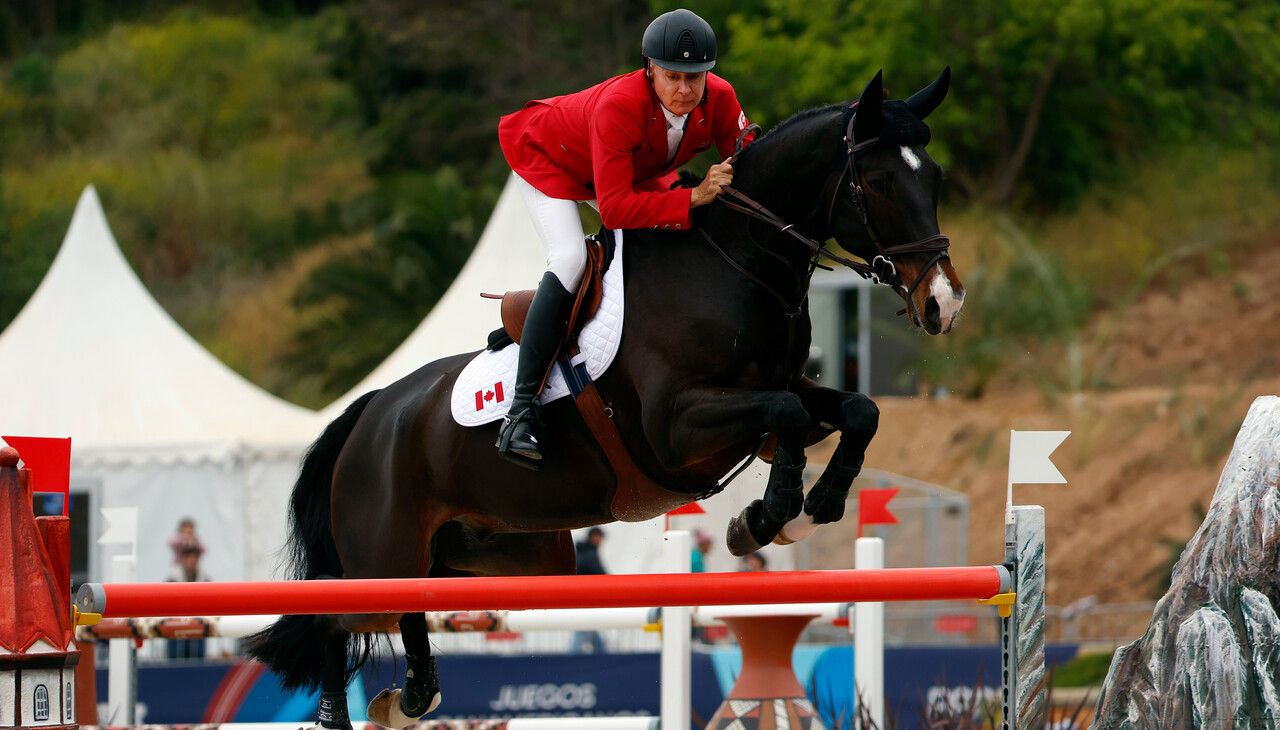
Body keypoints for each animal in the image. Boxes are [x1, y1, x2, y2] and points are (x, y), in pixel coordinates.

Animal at [247, 66, 962, 722]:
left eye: (934, 179)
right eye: (878, 183)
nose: (944, 303)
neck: (735, 265)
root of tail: (370, 411)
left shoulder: (783, 393)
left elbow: (857, 411)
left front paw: (805, 510)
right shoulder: (678, 430)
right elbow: (784, 418)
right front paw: (768, 516)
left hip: (499, 556)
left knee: (410, 619)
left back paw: (411, 696)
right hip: (381, 560)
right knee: (333, 623)